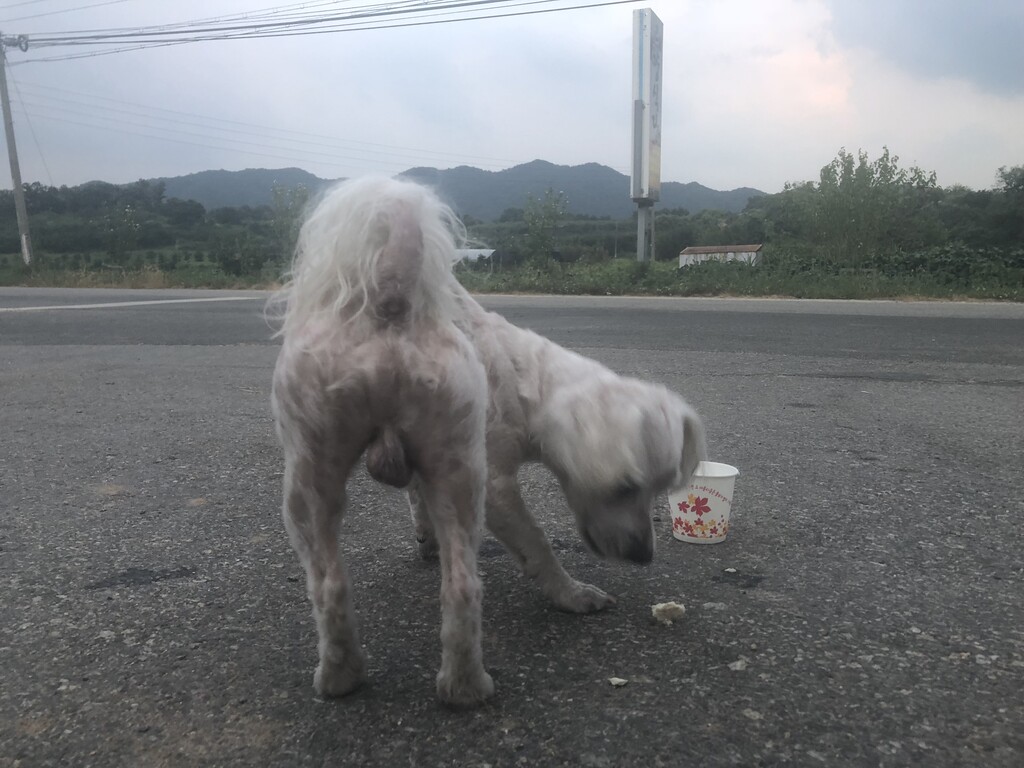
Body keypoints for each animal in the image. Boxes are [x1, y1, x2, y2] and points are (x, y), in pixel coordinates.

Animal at [270, 176, 705, 707]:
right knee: (371, 584)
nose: (645, 555)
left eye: (660, 491)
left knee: (377, 584)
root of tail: (390, 304)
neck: (526, 378)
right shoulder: (481, 477)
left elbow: (530, 541)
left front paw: (568, 593)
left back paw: (398, 681)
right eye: (626, 488)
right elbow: (493, 525)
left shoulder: (486, 481)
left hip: (352, 476)